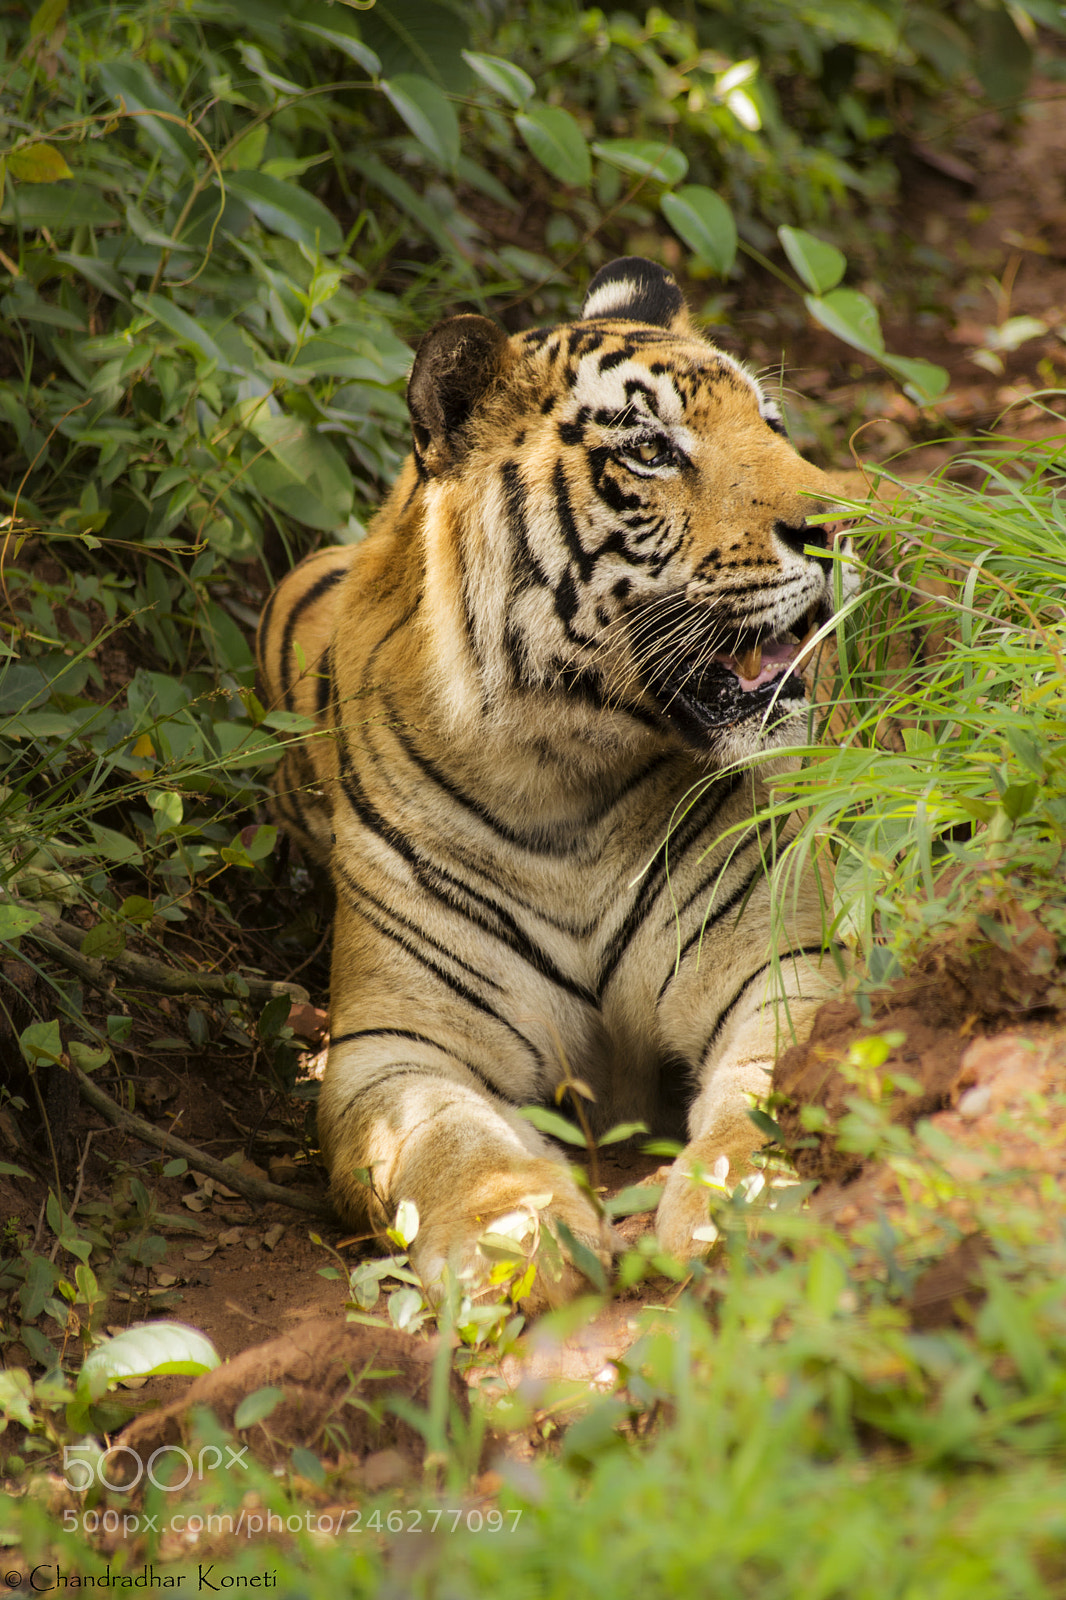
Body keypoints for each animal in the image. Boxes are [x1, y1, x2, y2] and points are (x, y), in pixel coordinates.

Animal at [256, 256, 849, 1305]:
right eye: (651, 450)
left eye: (772, 424)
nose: (838, 528)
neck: (561, 773)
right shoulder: (389, 1046)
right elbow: (446, 1140)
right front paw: (512, 1231)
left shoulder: (780, 965)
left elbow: (771, 1090)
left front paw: (738, 1204)